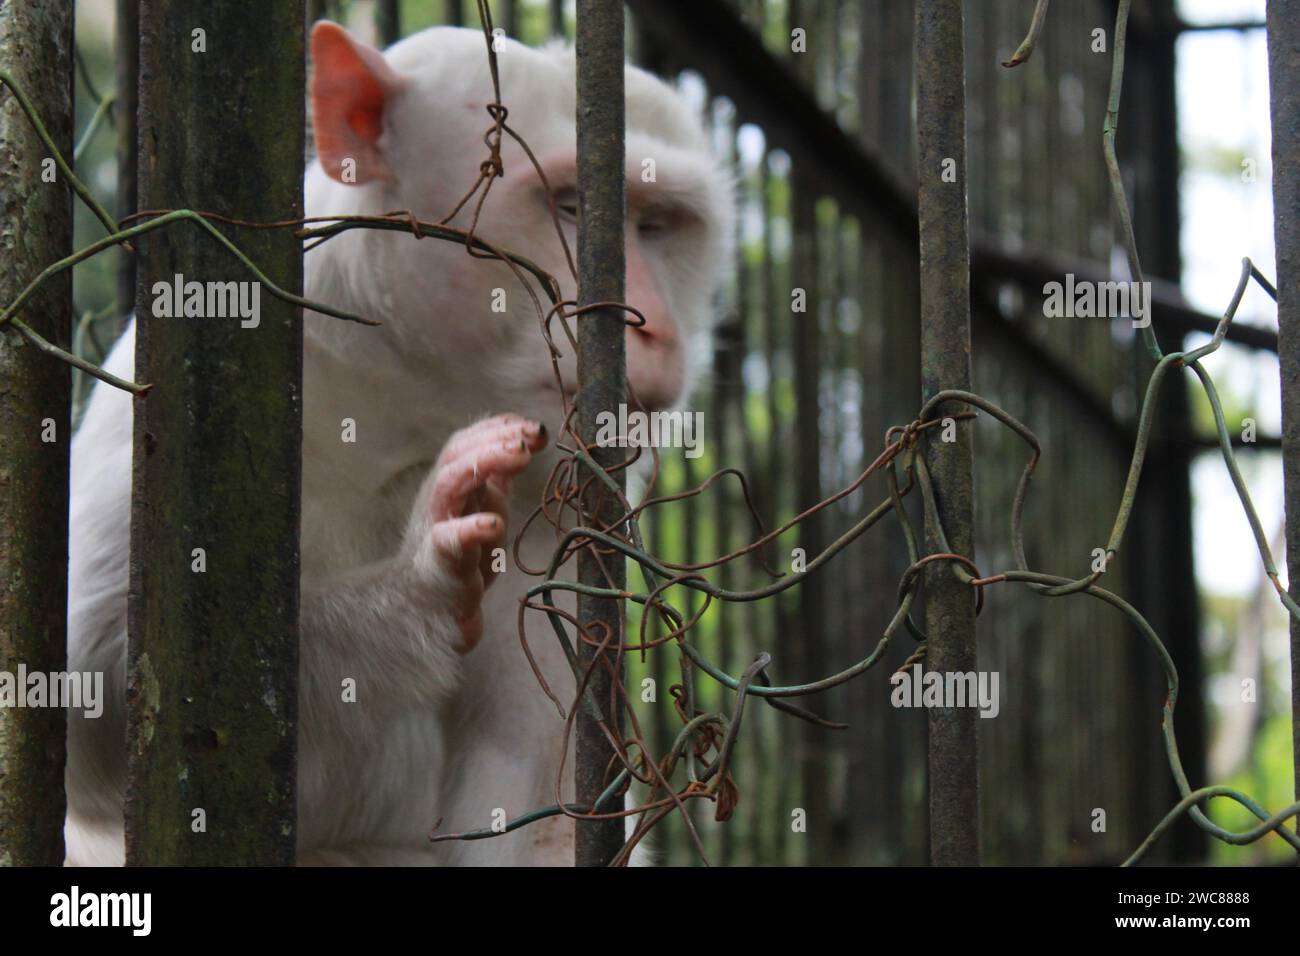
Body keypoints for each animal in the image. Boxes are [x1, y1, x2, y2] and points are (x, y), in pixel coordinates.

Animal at [65, 24, 733, 868]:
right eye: (573, 206)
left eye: (657, 225)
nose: (657, 328)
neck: (418, 398)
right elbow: (96, 684)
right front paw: (425, 578)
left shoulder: (564, 521)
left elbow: (540, 817)